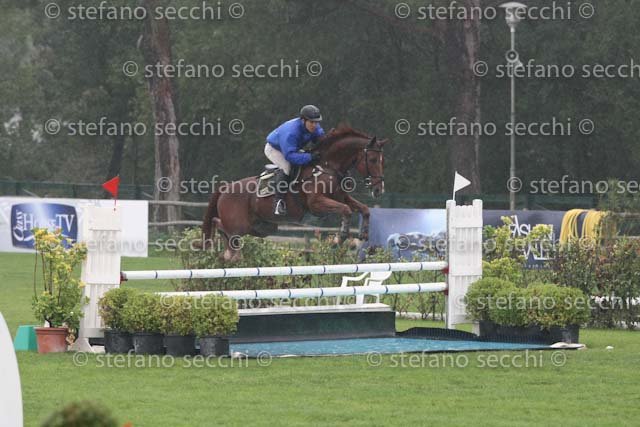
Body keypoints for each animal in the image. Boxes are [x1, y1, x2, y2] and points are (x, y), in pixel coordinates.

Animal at [202, 127, 389, 262]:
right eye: (372, 160)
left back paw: (229, 255)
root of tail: (225, 188)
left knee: (225, 229)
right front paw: (339, 239)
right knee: (220, 224)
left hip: (261, 227)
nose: (379, 190)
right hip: (239, 224)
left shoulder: (341, 197)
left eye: (382, 161)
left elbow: (364, 209)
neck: (327, 167)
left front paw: (364, 235)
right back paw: (231, 254)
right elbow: (346, 210)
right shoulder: (316, 204)